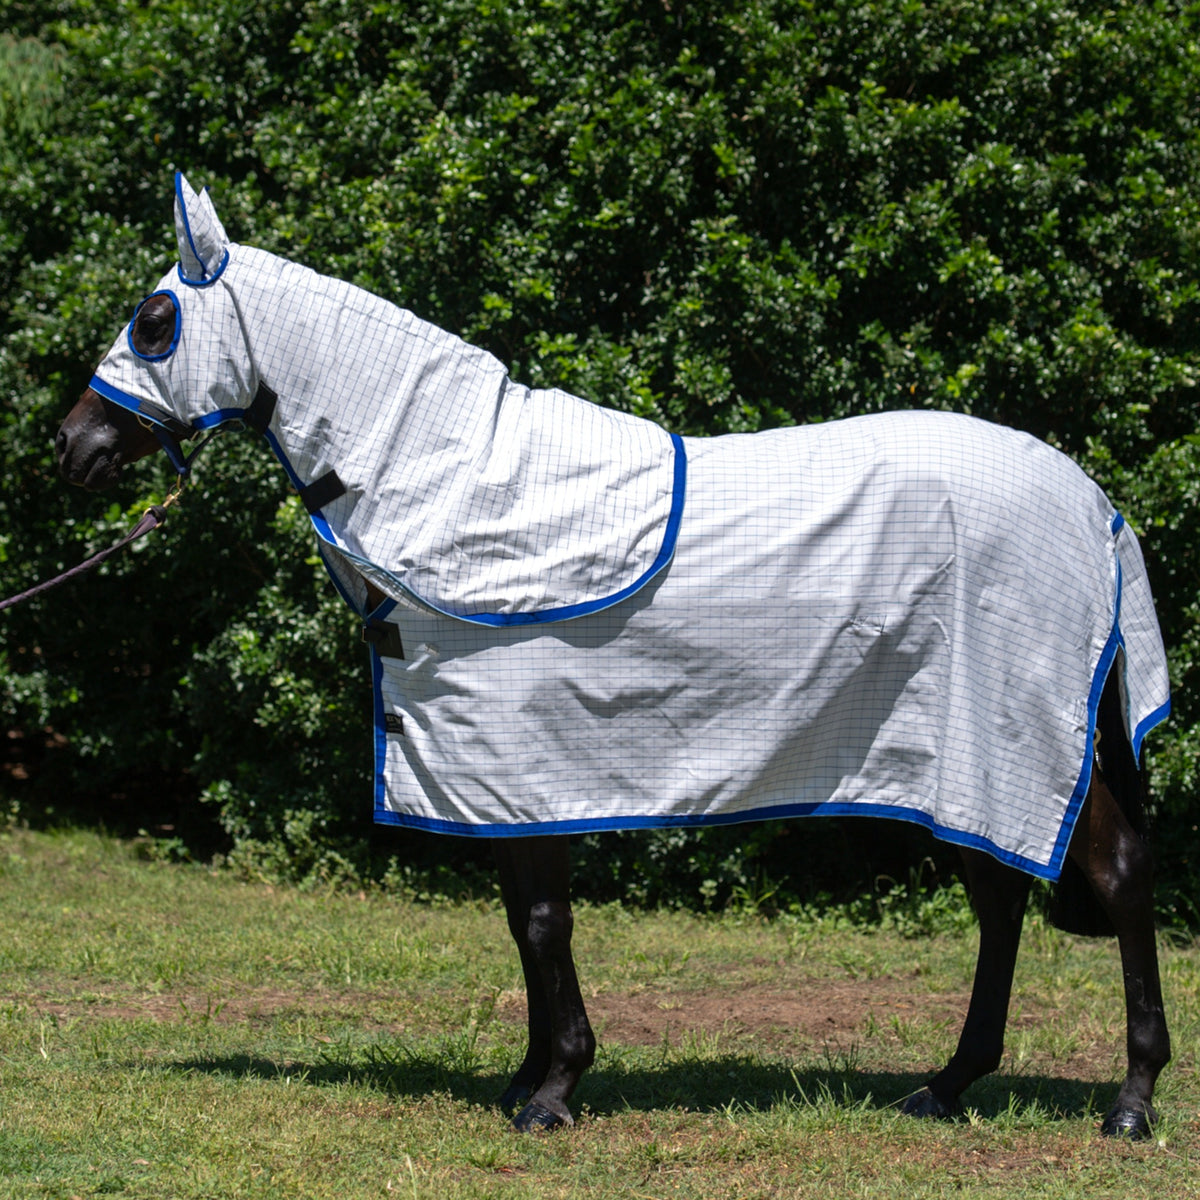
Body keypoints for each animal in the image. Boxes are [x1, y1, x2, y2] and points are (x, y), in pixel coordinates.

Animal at [55, 175, 1172, 1137]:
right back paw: (947, 1085)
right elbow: (523, 921)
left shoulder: (518, 756)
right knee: (999, 897)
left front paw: (555, 1091)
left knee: (1115, 872)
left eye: (155, 321)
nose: (72, 446)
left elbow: (546, 920)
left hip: (1018, 738)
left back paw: (1132, 1099)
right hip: (956, 758)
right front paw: (529, 1077)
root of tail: (1095, 505)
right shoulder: (498, 777)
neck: (455, 481)